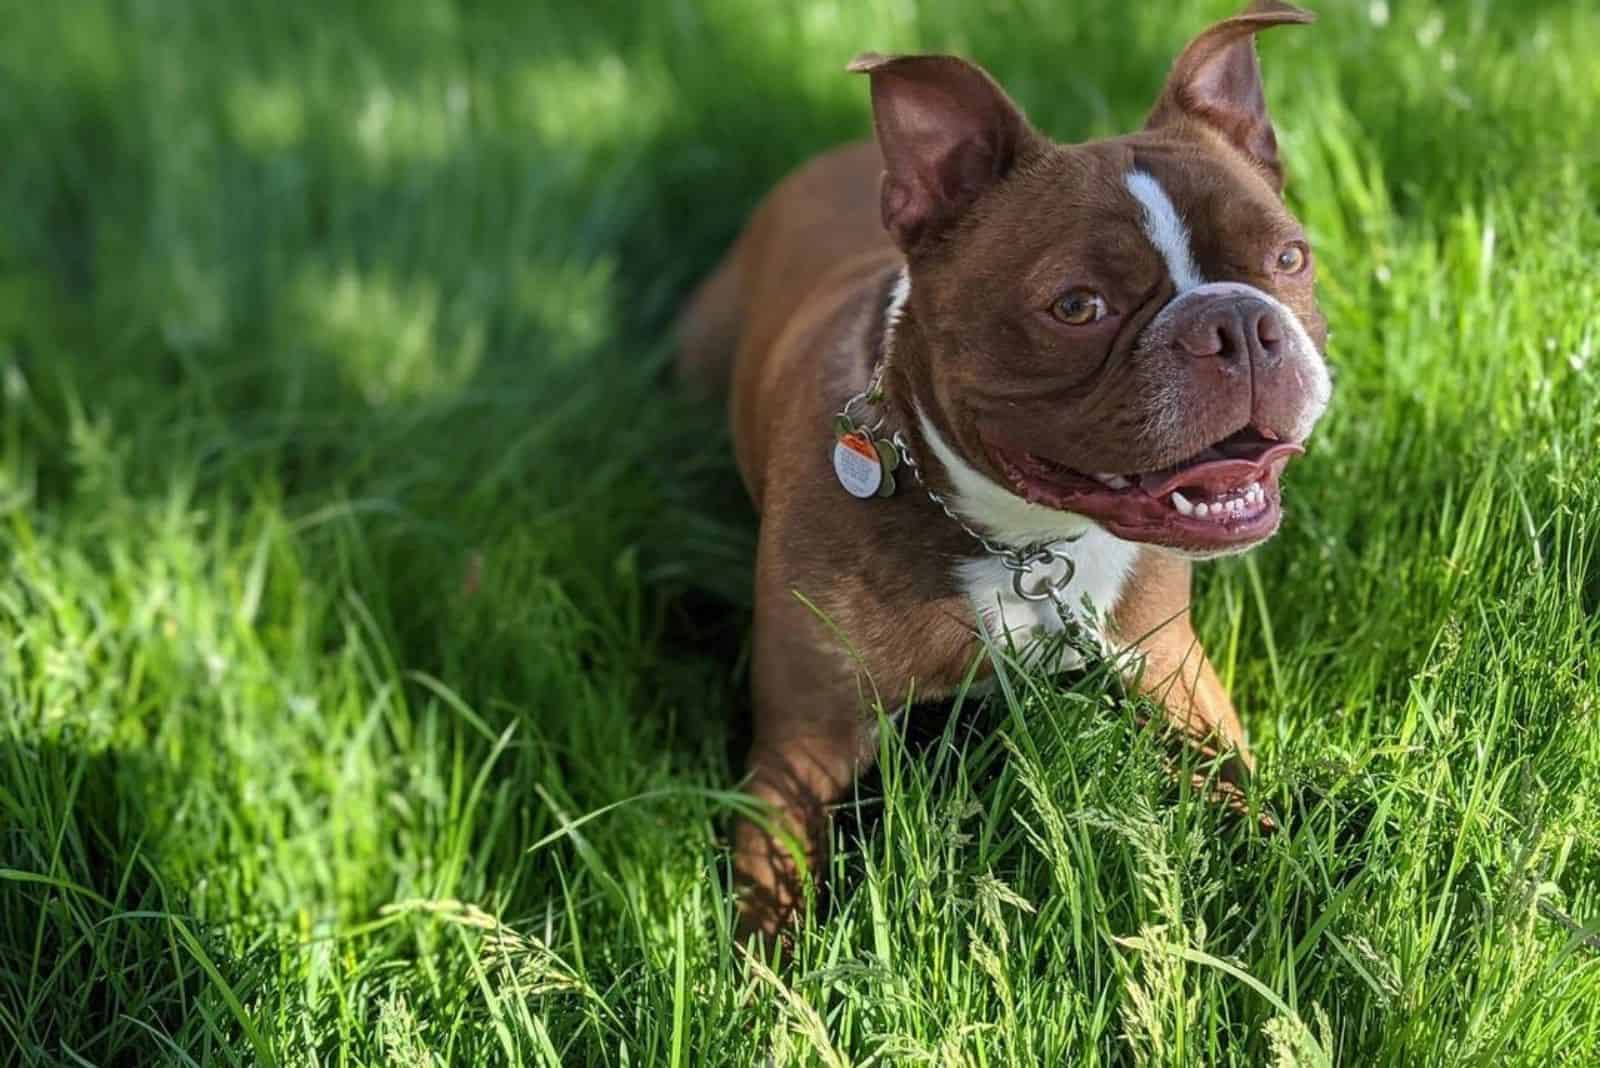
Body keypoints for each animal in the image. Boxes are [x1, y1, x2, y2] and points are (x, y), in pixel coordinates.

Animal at [675, 0, 1324, 940]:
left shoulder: (1178, 678)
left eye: (1289, 260)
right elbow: (774, 908)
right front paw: (778, 978)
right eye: (1078, 306)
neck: (1024, 543)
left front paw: (1306, 883)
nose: (1237, 323)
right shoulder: (797, 753)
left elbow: (1253, 804)